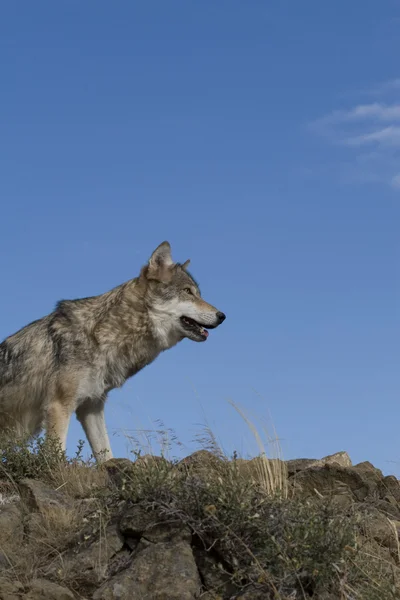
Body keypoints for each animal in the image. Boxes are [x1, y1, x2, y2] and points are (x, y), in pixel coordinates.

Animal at [0, 241, 225, 462]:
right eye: (188, 291)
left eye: (198, 293)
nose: (222, 316)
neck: (101, 336)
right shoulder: (59, 406)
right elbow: (57, 457)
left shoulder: (91, 407)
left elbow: (106, 454)